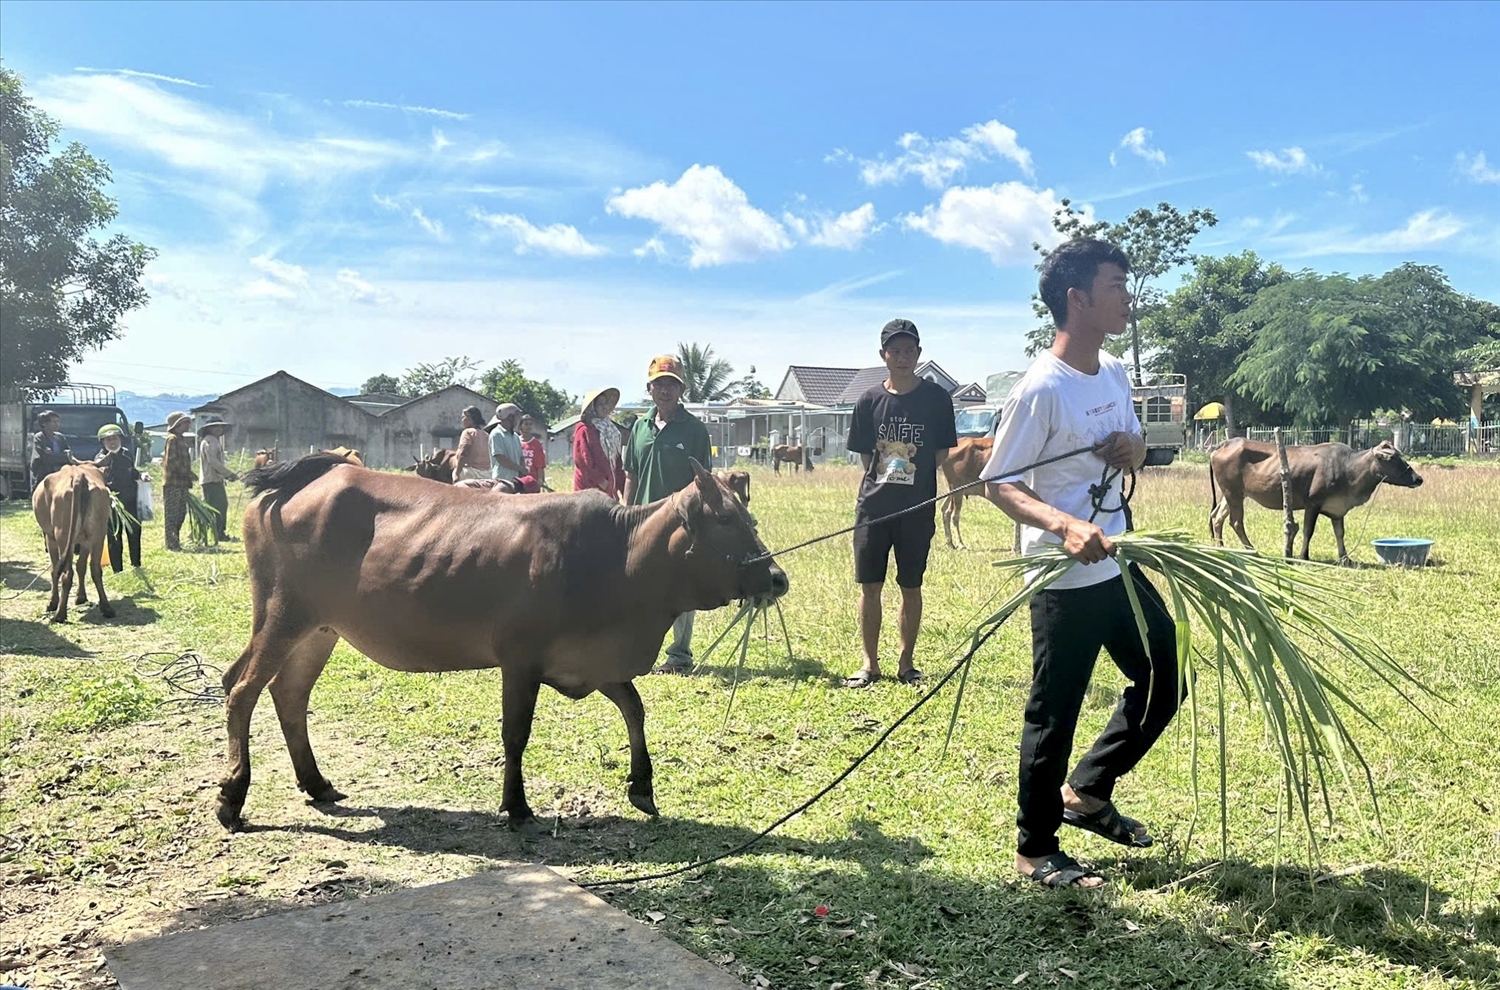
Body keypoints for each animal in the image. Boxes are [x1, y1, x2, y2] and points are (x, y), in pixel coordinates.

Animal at [31, 462, 114, 618]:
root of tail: (78, 476)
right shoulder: (85, 541)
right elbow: (81, 566)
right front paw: (81, 597)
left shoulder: (50, 538)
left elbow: (54, 569)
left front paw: (52, 602)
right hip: (98, 535)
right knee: (95, 569)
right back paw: (106, 607)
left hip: (62, 537)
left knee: (66, 573)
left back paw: (59, 614)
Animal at [219, 453, 798, 834]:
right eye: (725, 518)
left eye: (749, 516)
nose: (776, 578)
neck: (618, 557)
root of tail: (306, 480)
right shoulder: (521, 660)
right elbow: (516, 733)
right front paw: (516, 805)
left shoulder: (592, 662)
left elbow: (634, 708)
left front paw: (642, 786)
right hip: (285, 615)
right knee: (243, 690)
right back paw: (232, 797)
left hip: (320, 630)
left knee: (286, 693)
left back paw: (316, 783)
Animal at [1212, 438, 1422, 561]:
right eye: (1392, 458)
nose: (1418, 478)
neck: (1348, 469)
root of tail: (1224, 444)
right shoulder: (1312, 504)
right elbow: (1308, 531)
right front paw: (1303, 556)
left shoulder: (1337, 509)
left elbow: (1340, 533)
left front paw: (1345, 558)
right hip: (1233, 493)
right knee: (1236, 521)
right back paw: (1251, 550)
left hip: (1231, 494)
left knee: (1217, 517)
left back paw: (1219, 547)